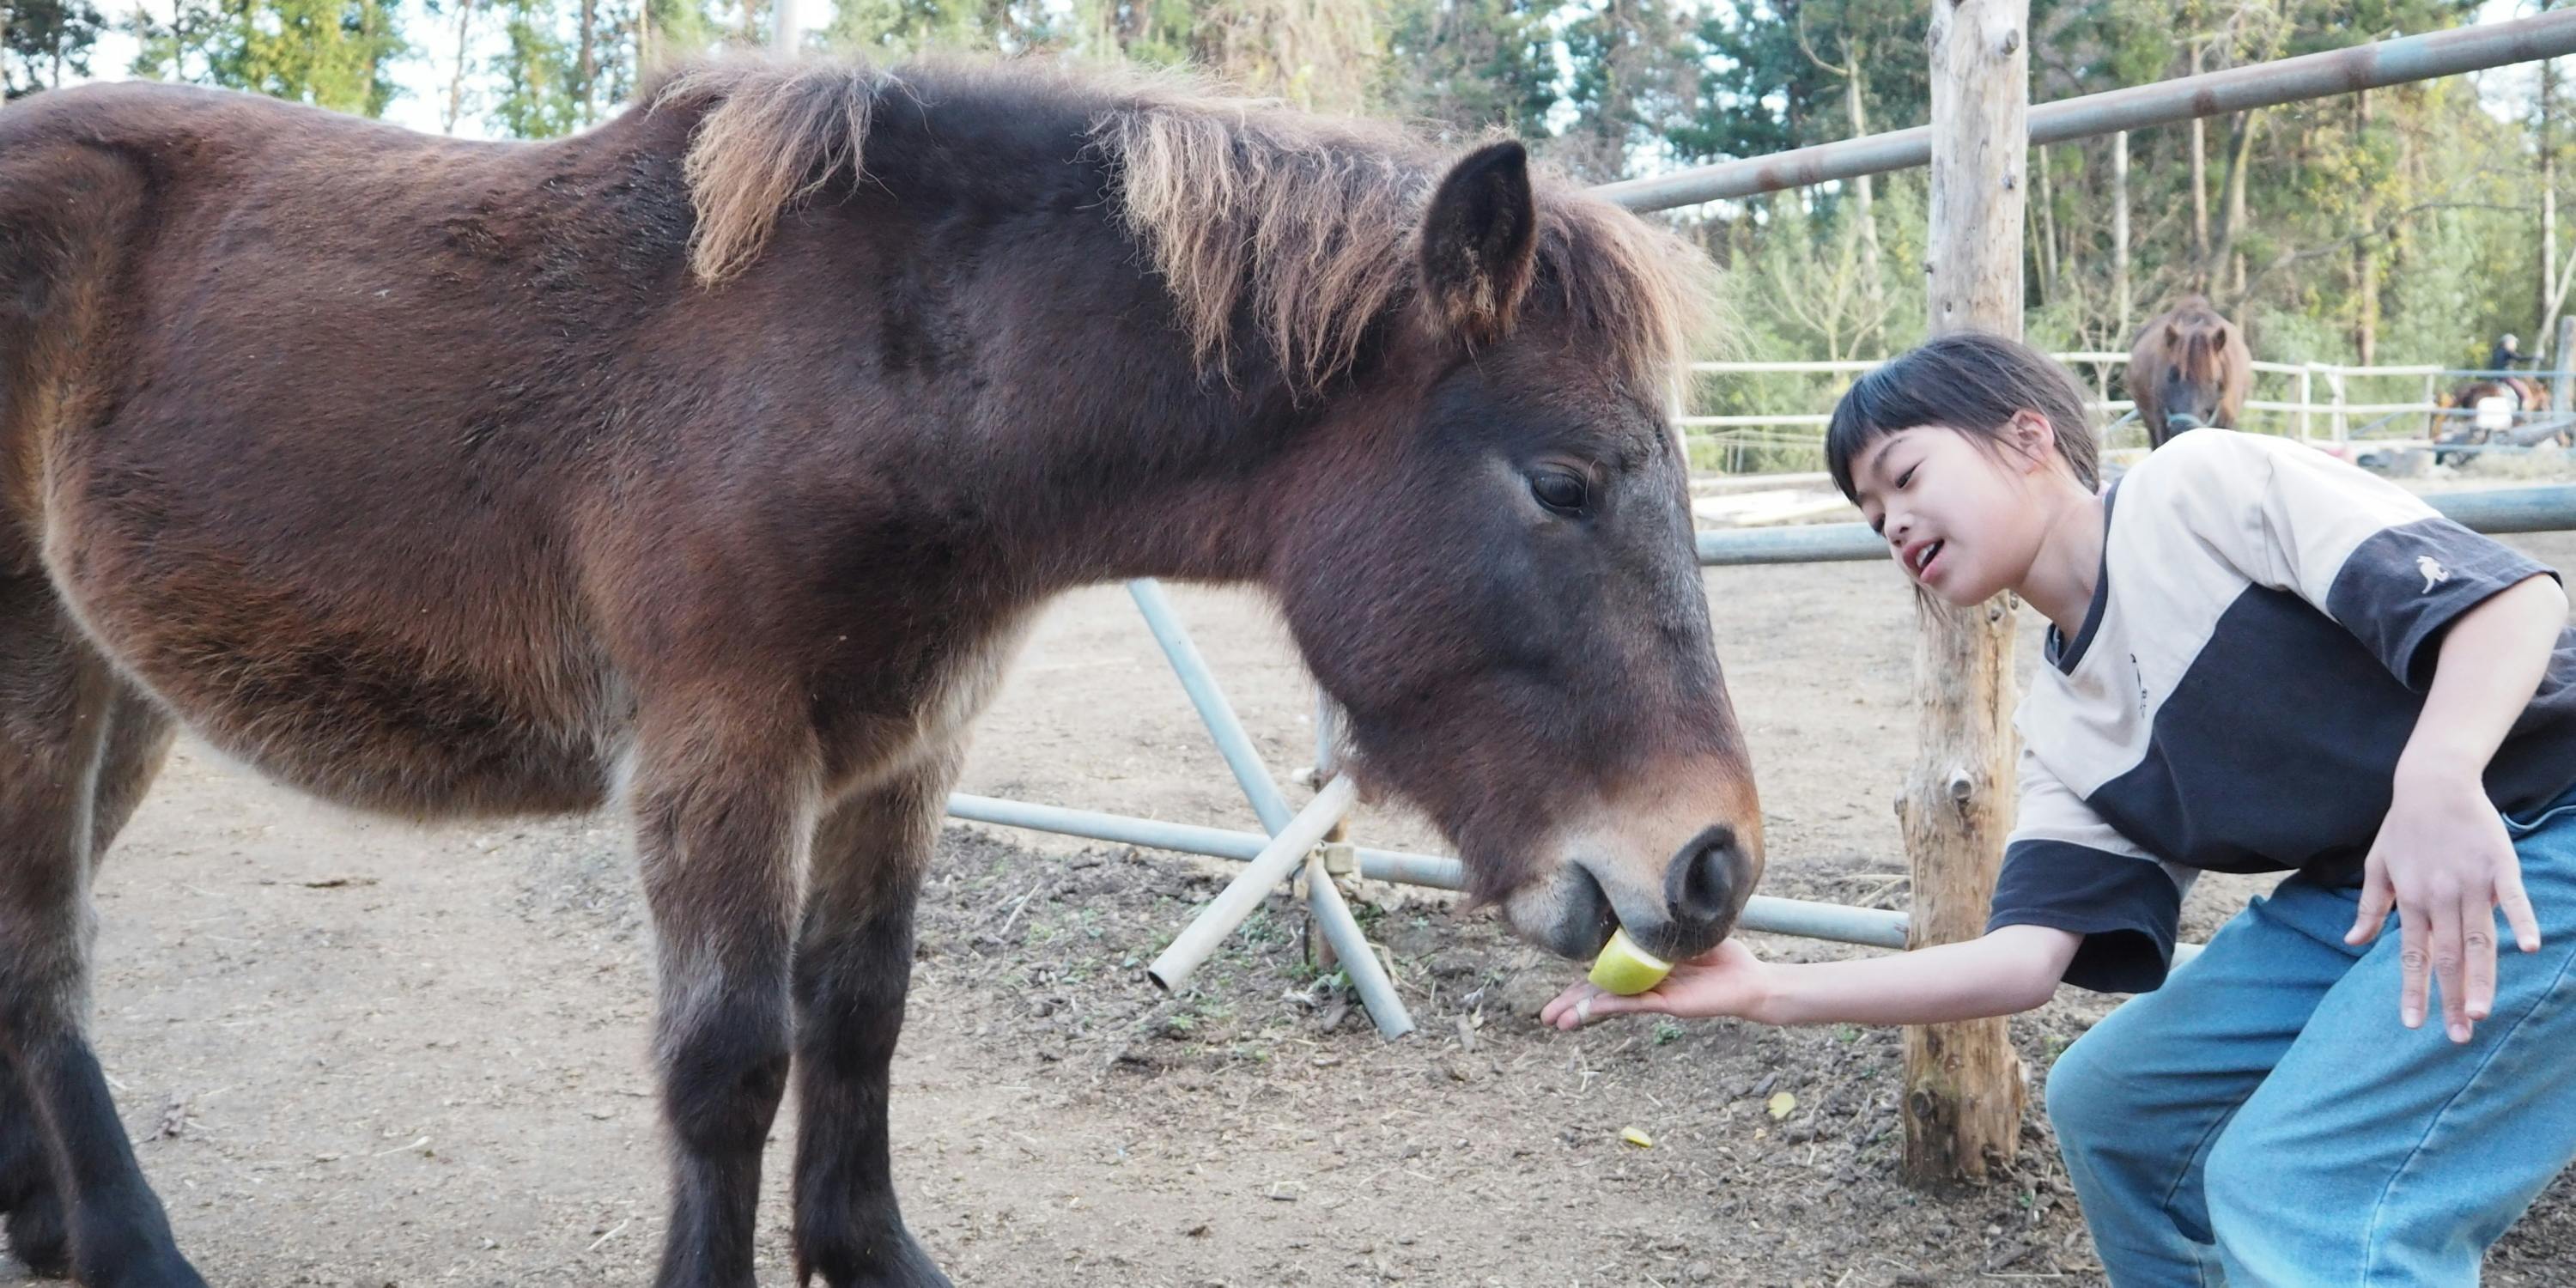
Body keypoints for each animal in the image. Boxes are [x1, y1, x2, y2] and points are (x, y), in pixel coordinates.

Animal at [0, 55, 1762, 1283]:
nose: (1715, 865)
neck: (869, 369)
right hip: (37, 675)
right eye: (1561, 485)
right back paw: (129, 1248)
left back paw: (45, 1223)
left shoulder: (904, 747)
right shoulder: (722, 748)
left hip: (121, 691)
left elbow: (859, 1011)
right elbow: (728, 1063)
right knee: (47, 960)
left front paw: (866, 1253)